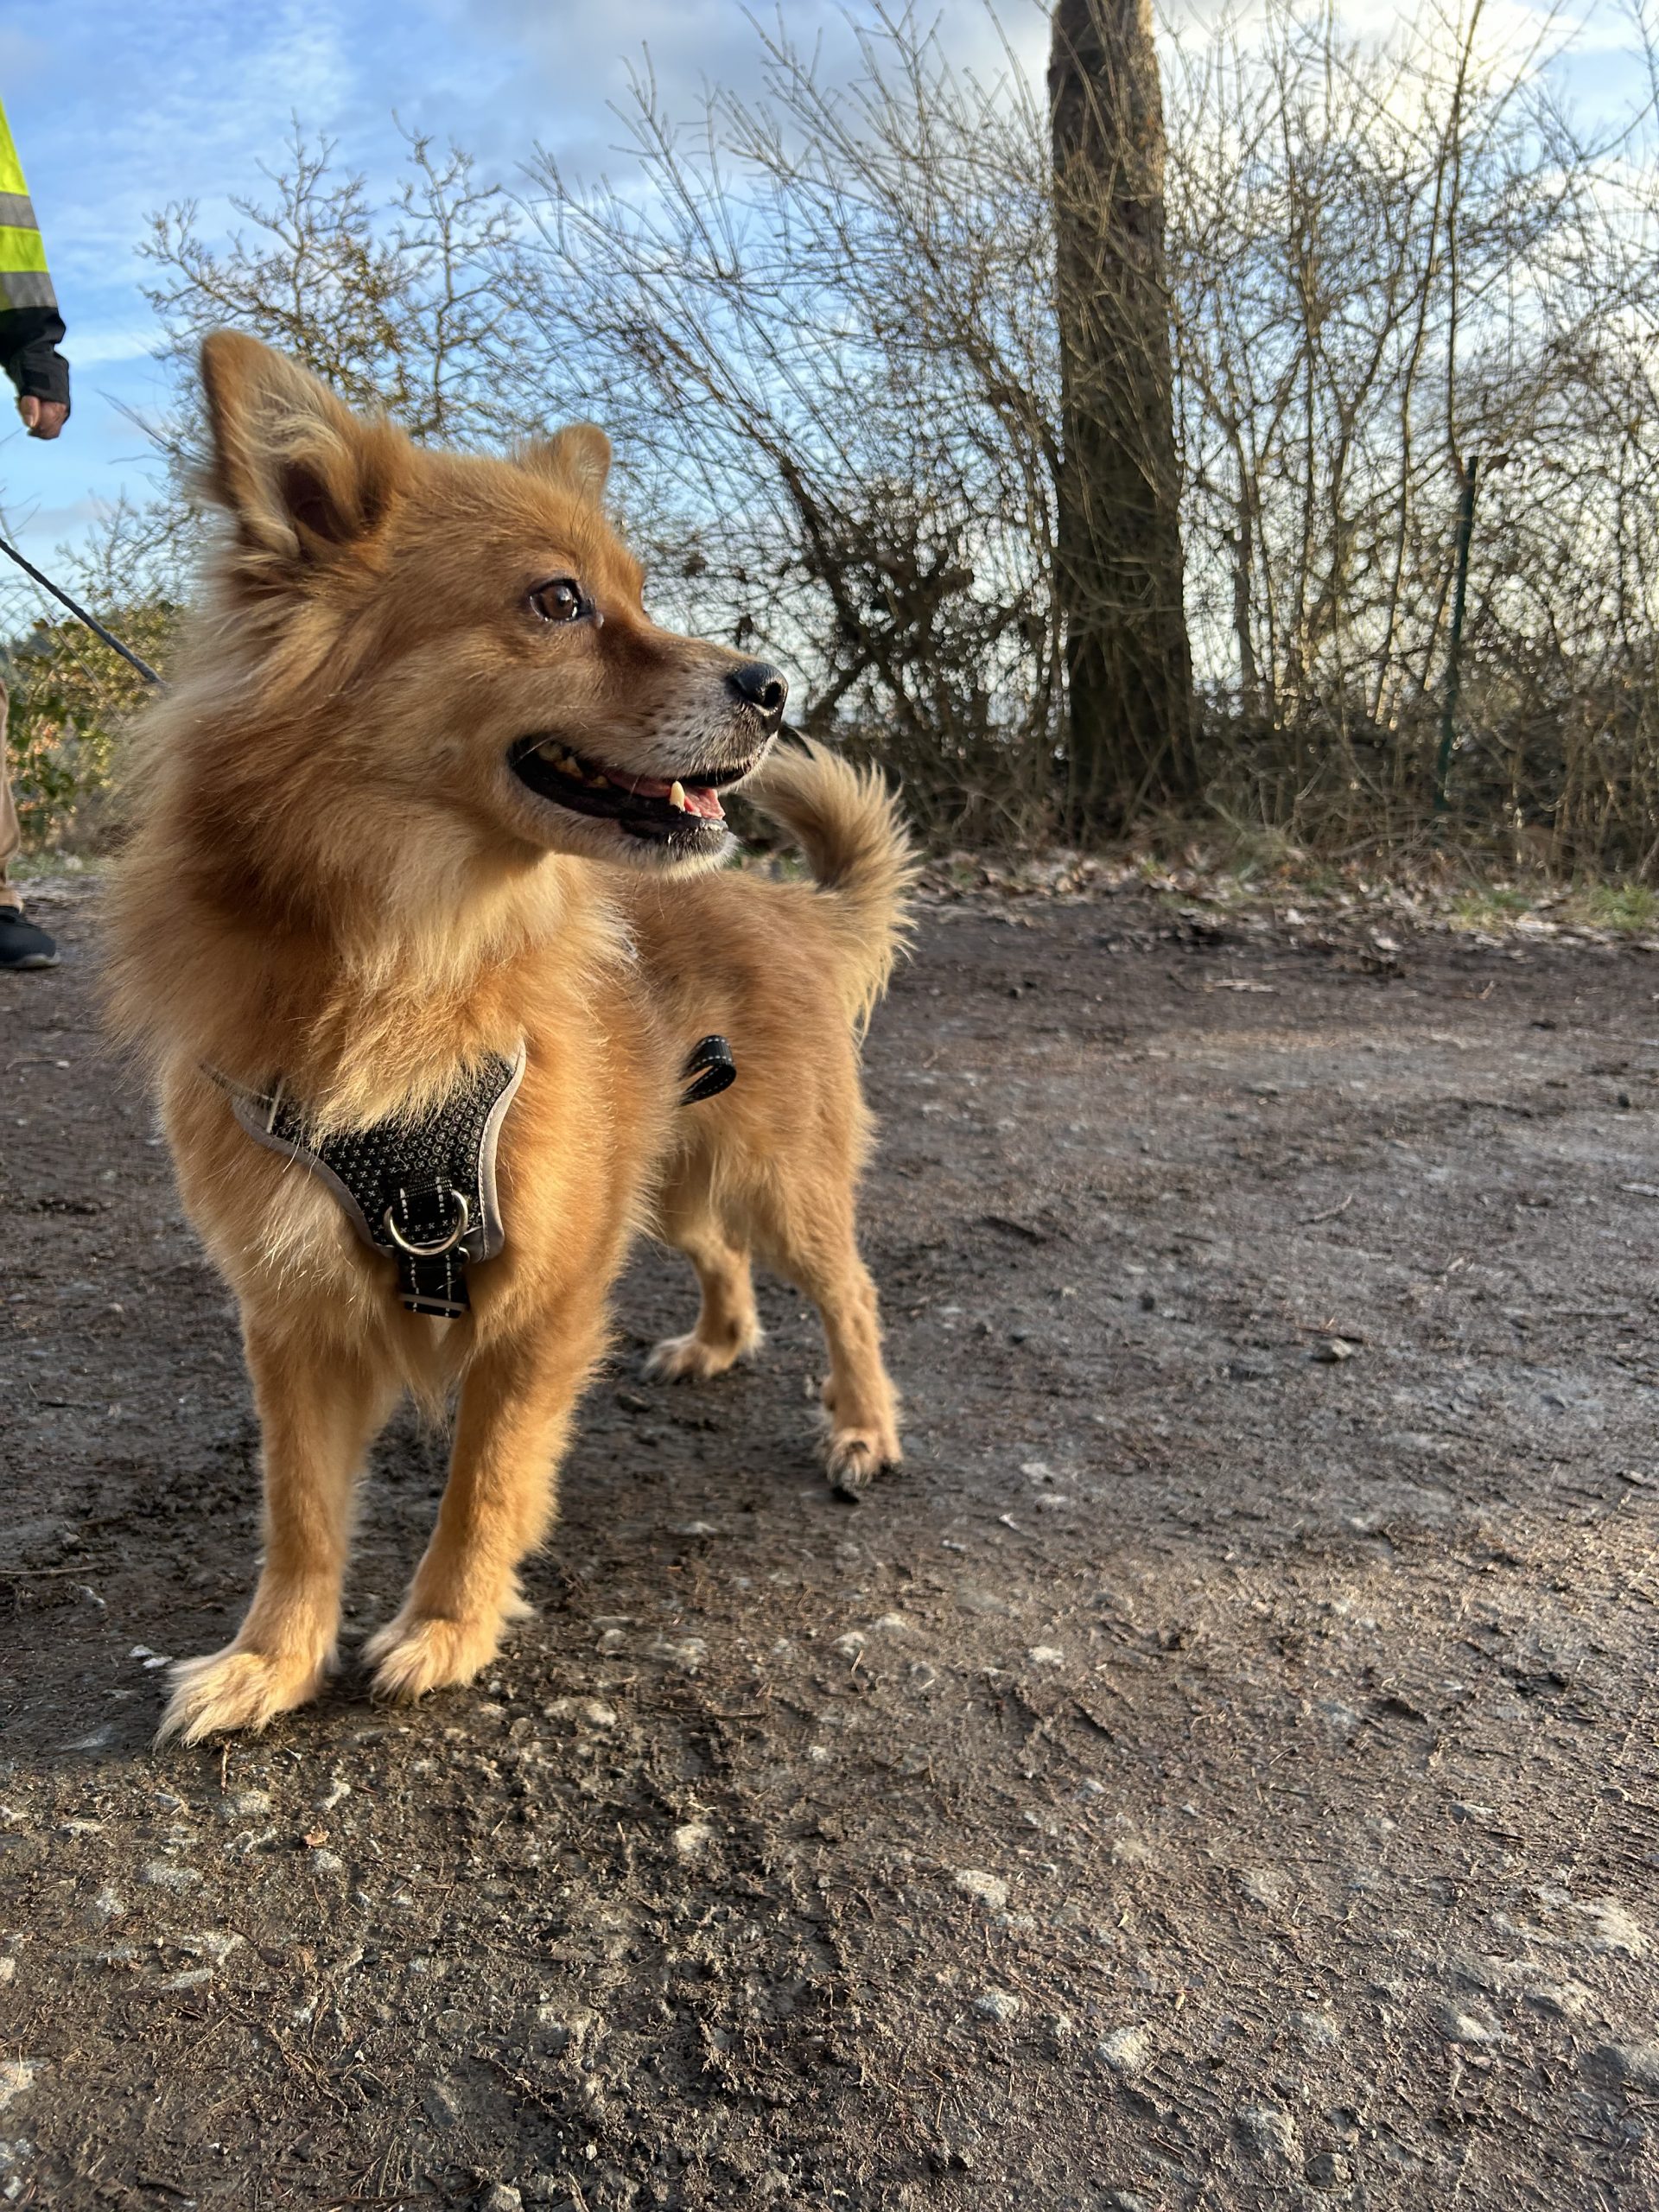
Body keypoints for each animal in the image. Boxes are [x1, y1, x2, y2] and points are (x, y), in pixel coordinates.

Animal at [104, 332, 915, 1745]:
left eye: (638, 592)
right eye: (559, 601)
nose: (773, 687)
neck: (412, 956)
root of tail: (789, 907)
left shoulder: (540, 1303)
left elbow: (485, 1483)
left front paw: (444, 1627)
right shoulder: (295, 1316)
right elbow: (299, 1513)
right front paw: (271, 1659)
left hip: (778, 1179)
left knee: (850, 1295)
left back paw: (862, 1427)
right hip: (665, 1180)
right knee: (723, 1262)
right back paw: (715, 1343)